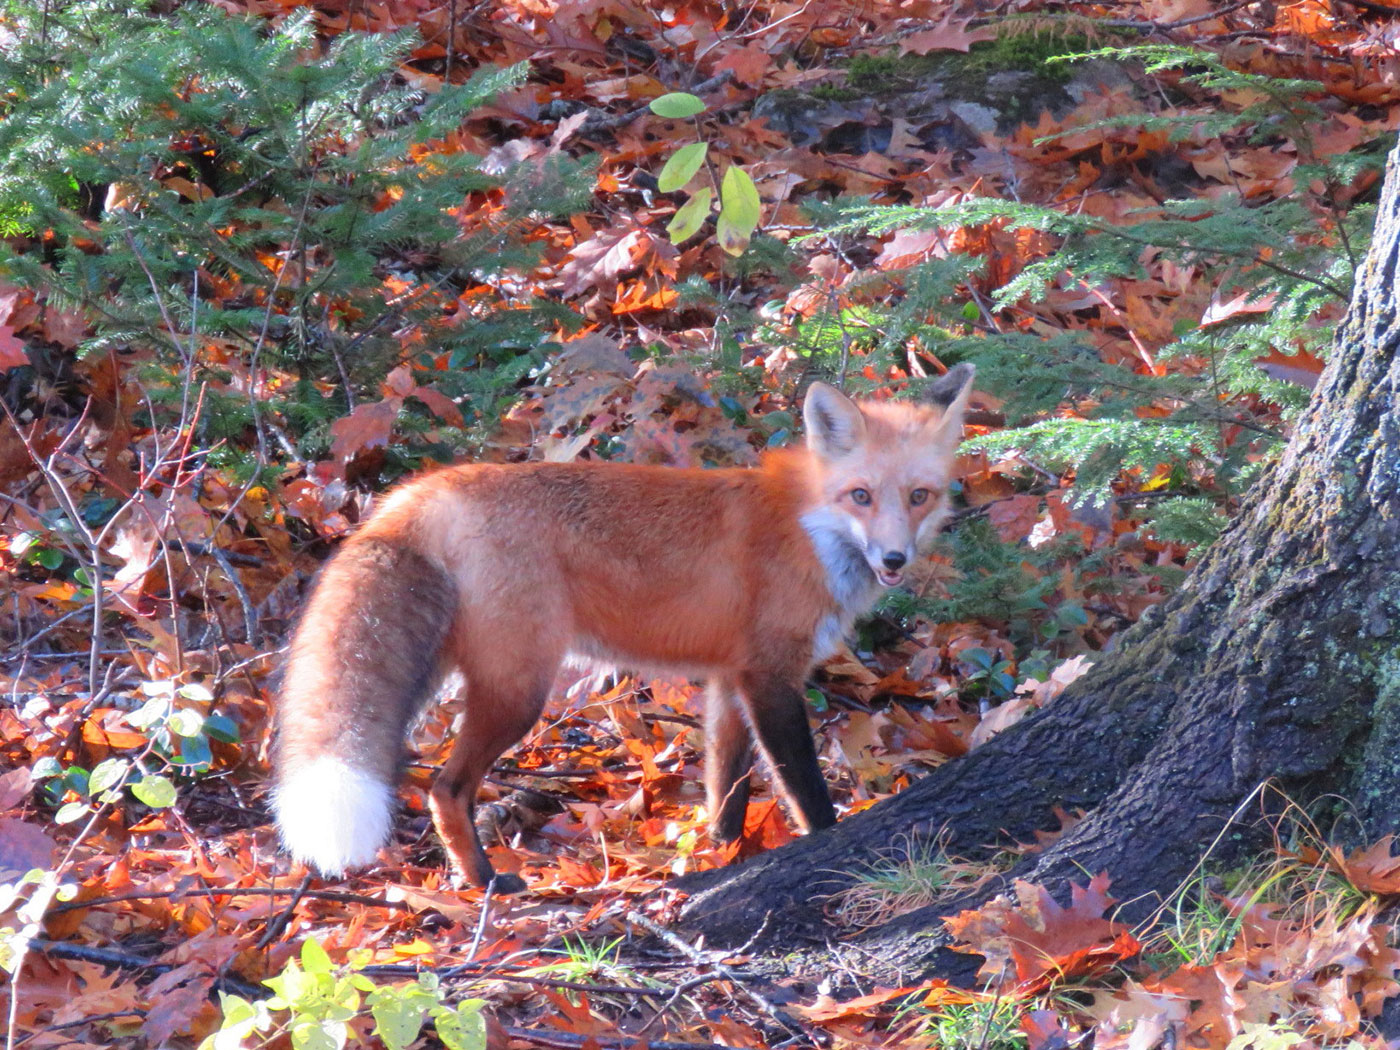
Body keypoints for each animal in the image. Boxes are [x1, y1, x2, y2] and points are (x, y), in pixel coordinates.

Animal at [273, 366, 974, 890]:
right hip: (519, 690)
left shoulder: (729, 680)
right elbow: (804, 787)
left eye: (919, 496)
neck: (808, 530)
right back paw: (486, 881)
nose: (895, 560)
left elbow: (726, 788)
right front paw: (827, 847)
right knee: (446, 789)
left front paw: (722, 855)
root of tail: (424, 490)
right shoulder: (771, 677)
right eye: (861, 496)